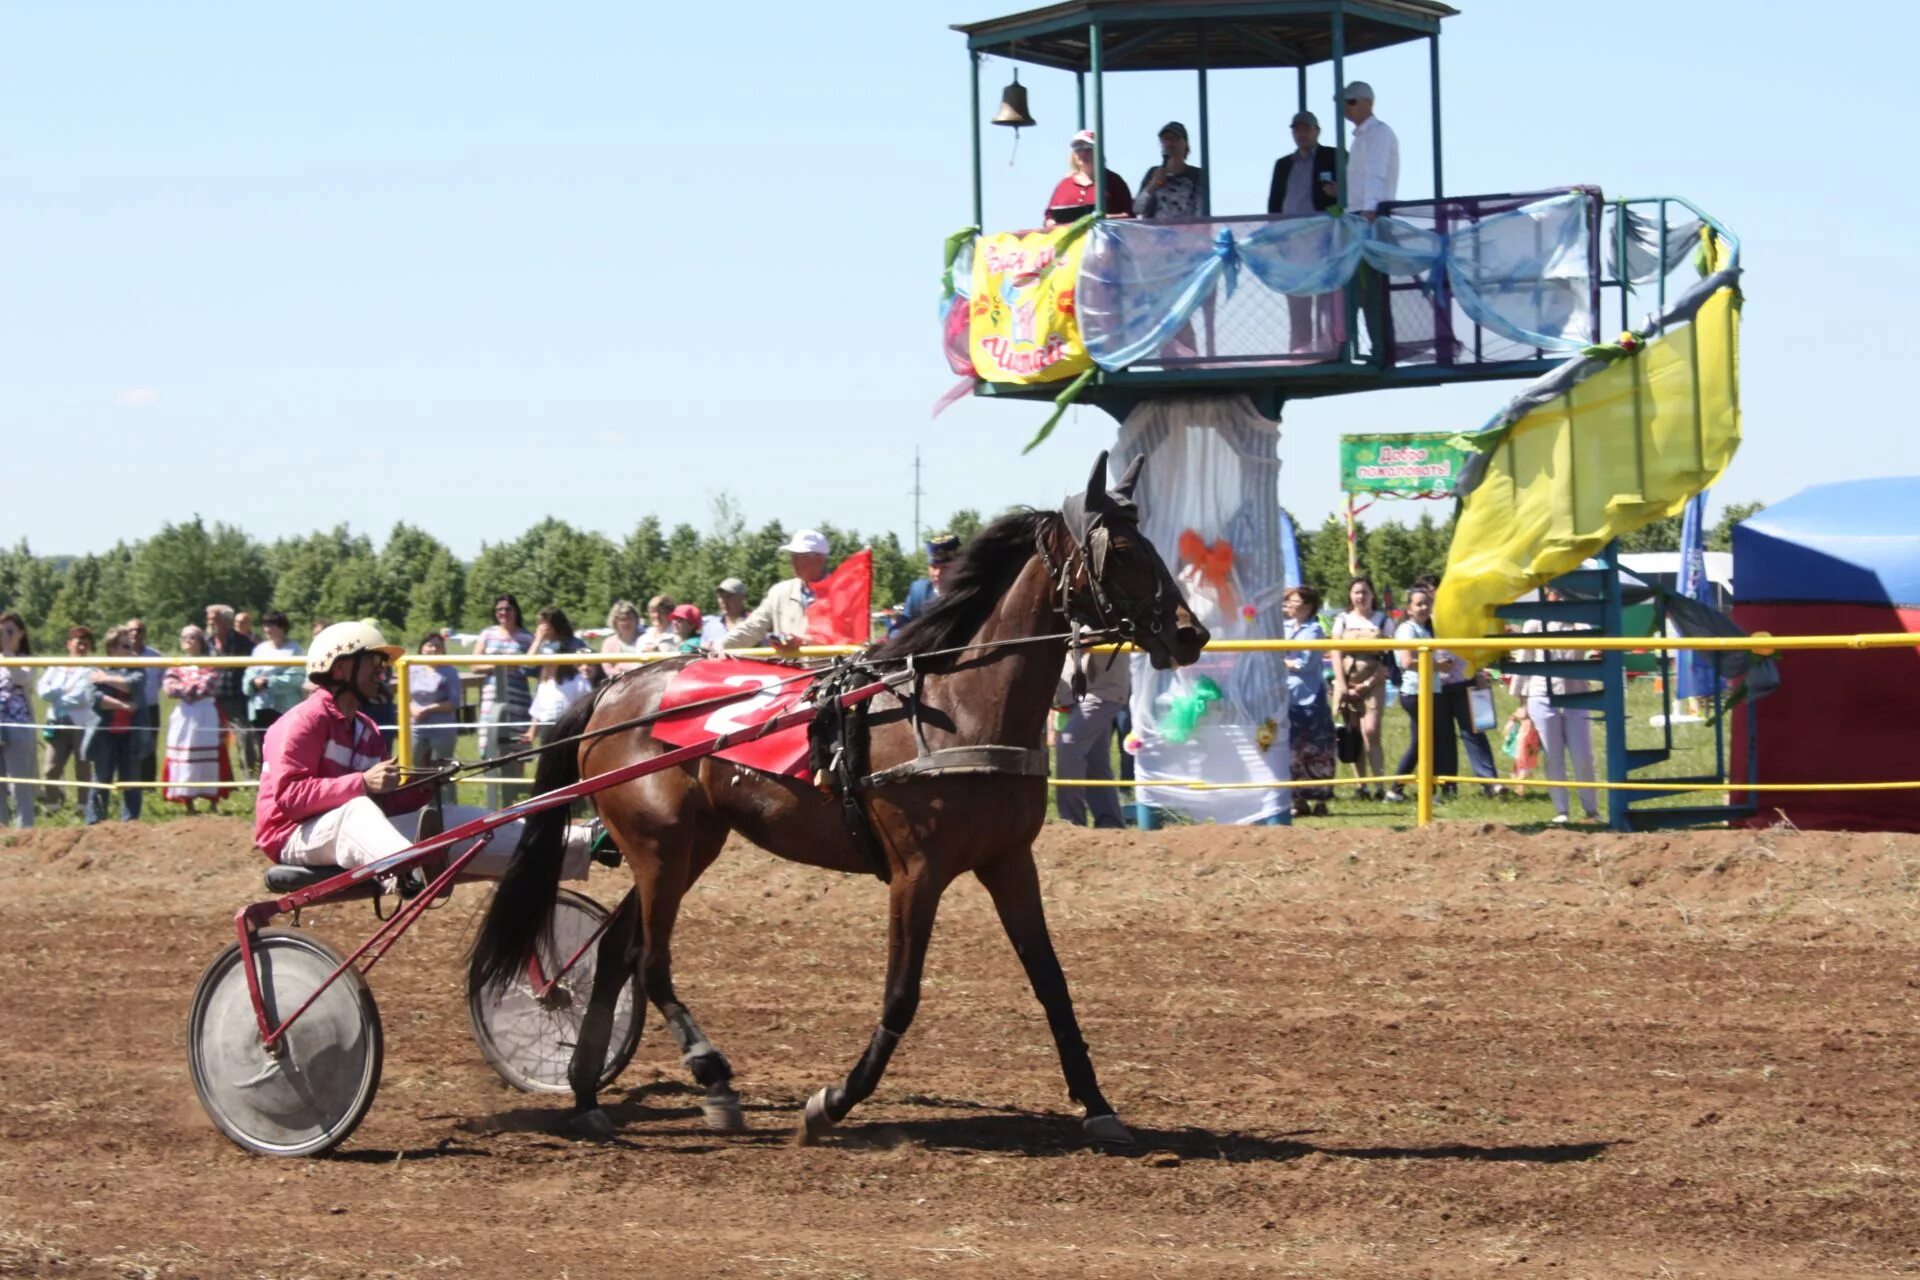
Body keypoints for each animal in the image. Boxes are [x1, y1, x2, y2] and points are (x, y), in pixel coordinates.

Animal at [468, 452, 1198, 1151]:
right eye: (1123, 550)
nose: (1192, 633)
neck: (956, 708)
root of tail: (611, 693)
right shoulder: (916, 871)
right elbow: (901, 996)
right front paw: (831, 1104)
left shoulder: (1010, 861)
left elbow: (1052, 984)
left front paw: (1099, 1108)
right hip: (660, 847)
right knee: (649, 961)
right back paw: (710, 1075)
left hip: (689, 845)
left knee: (618, 952)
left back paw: (587, 1093)